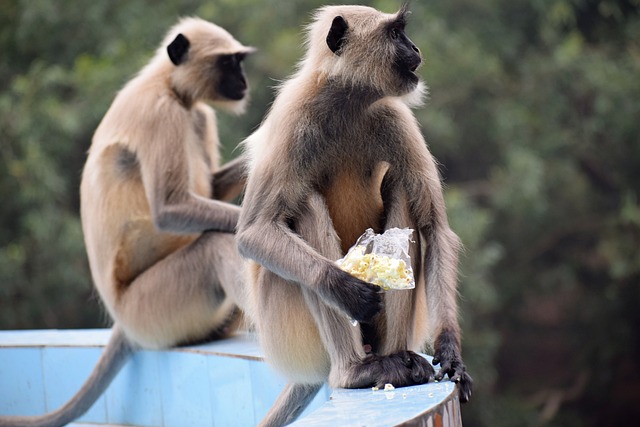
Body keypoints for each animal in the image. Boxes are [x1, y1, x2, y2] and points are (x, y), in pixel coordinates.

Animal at [0, 16, 255, 427]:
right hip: (150, 308)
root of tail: (123, 320)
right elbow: (169, 209)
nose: (243, 81)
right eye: (229, 62)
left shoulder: (199, 114)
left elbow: (212, 186)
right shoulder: (159, 112)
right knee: (215, 246)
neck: (167, 85)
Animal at [238, 5, 472, 426]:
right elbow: (253, 232)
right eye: (396, 34)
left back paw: (395, 361)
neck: (346, 102)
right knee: (303, 204)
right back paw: (354, 371)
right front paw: (345, 287)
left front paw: (450, 352)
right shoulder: (293, 119)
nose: (415, 47)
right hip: (288, 326)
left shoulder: (394, 116)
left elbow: (436, 230)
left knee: (403, 191)